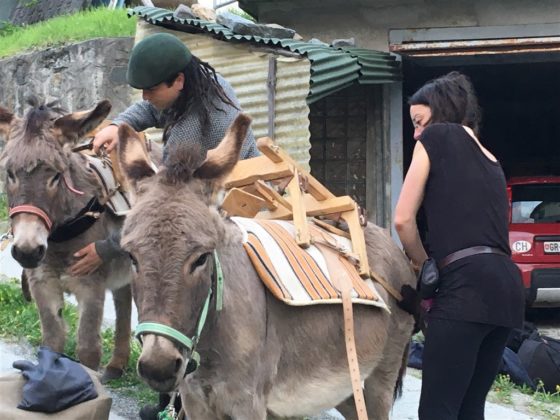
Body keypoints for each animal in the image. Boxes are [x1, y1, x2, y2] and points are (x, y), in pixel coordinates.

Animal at [0, 98, 159, 382]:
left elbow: (88, 349)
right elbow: (52, 342)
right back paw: (116, 365)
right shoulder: (42, 283)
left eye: (56, 175)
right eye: (10, 173)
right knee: (123, 301)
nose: (27, 251)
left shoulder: (90, 286)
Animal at [116, 114, 415, 419]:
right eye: (131, 257)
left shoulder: (247, 403)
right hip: (345, 387)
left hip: (380, 375)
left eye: (201, 258)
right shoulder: (195, 400)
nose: (158, 367)